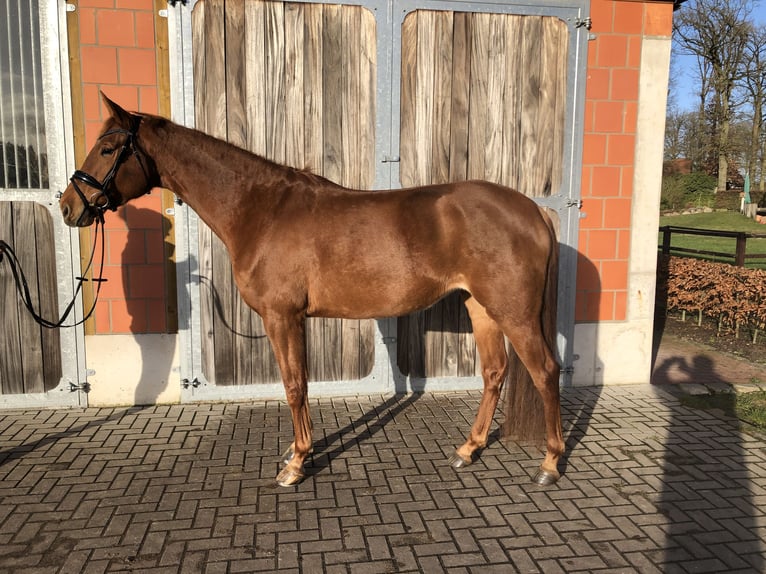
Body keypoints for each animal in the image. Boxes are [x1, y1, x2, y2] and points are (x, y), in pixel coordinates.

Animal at [61, 95, 564, 490]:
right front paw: (294, 453)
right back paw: (468, 449)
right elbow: (296, 382)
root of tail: (534, 211)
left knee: (544, 371)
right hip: (481, 307)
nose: (69, 207)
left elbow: (294, 383)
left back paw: (550, 463)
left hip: (514, 313)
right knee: (495, 373)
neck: (261, 209)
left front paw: (296, 463)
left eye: (108, 148)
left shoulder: (282, 316)